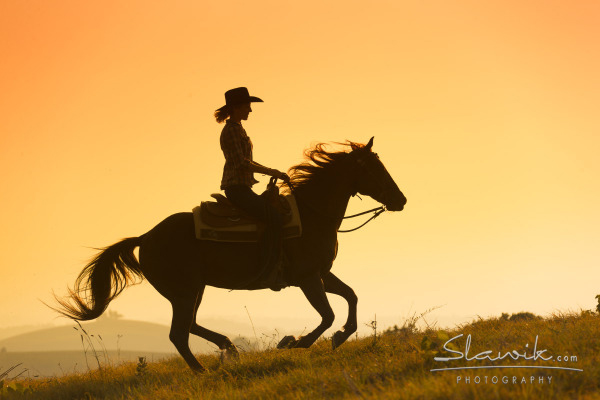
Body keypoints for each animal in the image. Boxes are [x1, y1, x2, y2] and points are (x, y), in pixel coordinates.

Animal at [52, 137, 408, 372]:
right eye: (375, 168)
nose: (401, 200)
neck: (312, 215)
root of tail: (146, 237)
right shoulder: (308, 278)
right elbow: (328, 315)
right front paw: (295, 341)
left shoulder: (321, 273)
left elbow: (351, 297)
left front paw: (339, 337)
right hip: (184, 291)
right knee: (179, 333)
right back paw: (203, 370)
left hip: (192, 290)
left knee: (190, 326)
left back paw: (228, 347)